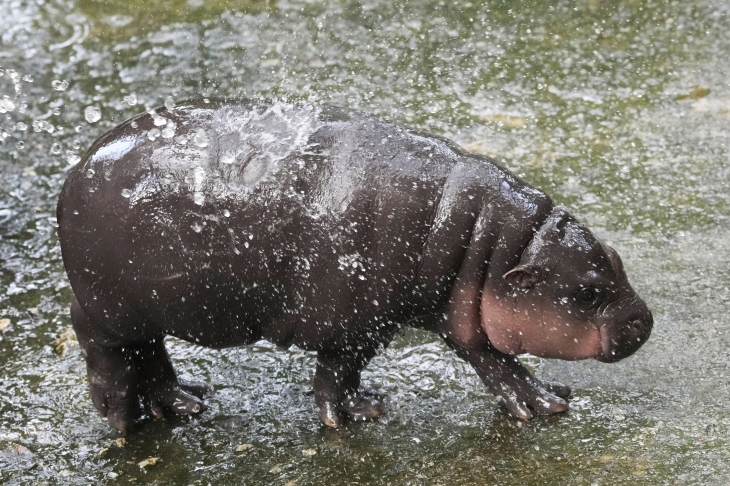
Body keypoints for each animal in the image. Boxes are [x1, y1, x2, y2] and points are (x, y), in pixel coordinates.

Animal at [55, 98, 648, 432]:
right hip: (110, 309)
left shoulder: (457, 314)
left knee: (150, 353)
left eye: (617, 260)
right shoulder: (356, 323)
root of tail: (77, 168)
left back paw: (186, 403)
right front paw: (357, 416)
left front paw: (547, 401)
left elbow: (495, 363)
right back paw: (123, 422)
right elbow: (336, 373)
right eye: (589, 292)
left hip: (146, 311)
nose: (644, 319)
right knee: (105, 350)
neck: (488, 245)